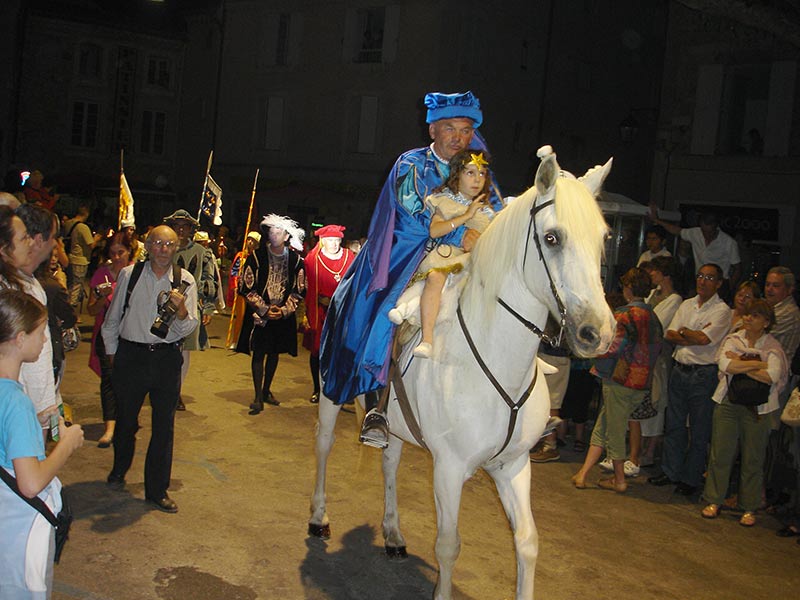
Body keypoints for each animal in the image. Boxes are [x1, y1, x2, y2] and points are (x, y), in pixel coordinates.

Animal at [309, 146, 616, 600]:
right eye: (552, 238)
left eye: (603, 239)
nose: (598, 333)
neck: (500, 363)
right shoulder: (449, 468)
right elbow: (449, 544)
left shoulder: (513, 465)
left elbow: (527, 542)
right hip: (333, 388)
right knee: (325, 445)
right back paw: (318, 518)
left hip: (394, 423)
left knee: (389, 462)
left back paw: (393, 533)